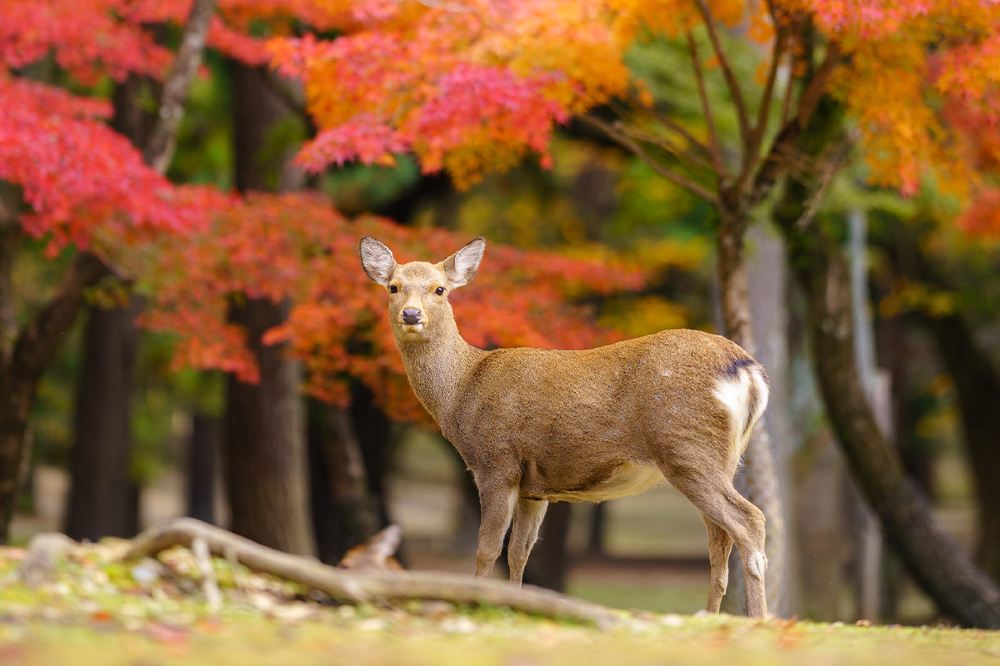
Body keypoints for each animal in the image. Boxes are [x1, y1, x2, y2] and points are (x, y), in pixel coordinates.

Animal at [359, 235, 771, 617]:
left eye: (440, 289)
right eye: (393, 286)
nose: (411, 314)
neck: (462, 391)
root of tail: (747, 370)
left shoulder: (497, 463)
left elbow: (487, 550)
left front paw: (479, 604)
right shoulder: (534, 487)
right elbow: (519, 553)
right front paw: (517, 606)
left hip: (686, 446)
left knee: (749, 520)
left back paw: (759, 618)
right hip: (721, 457)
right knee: (720, 537)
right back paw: (712, 616)